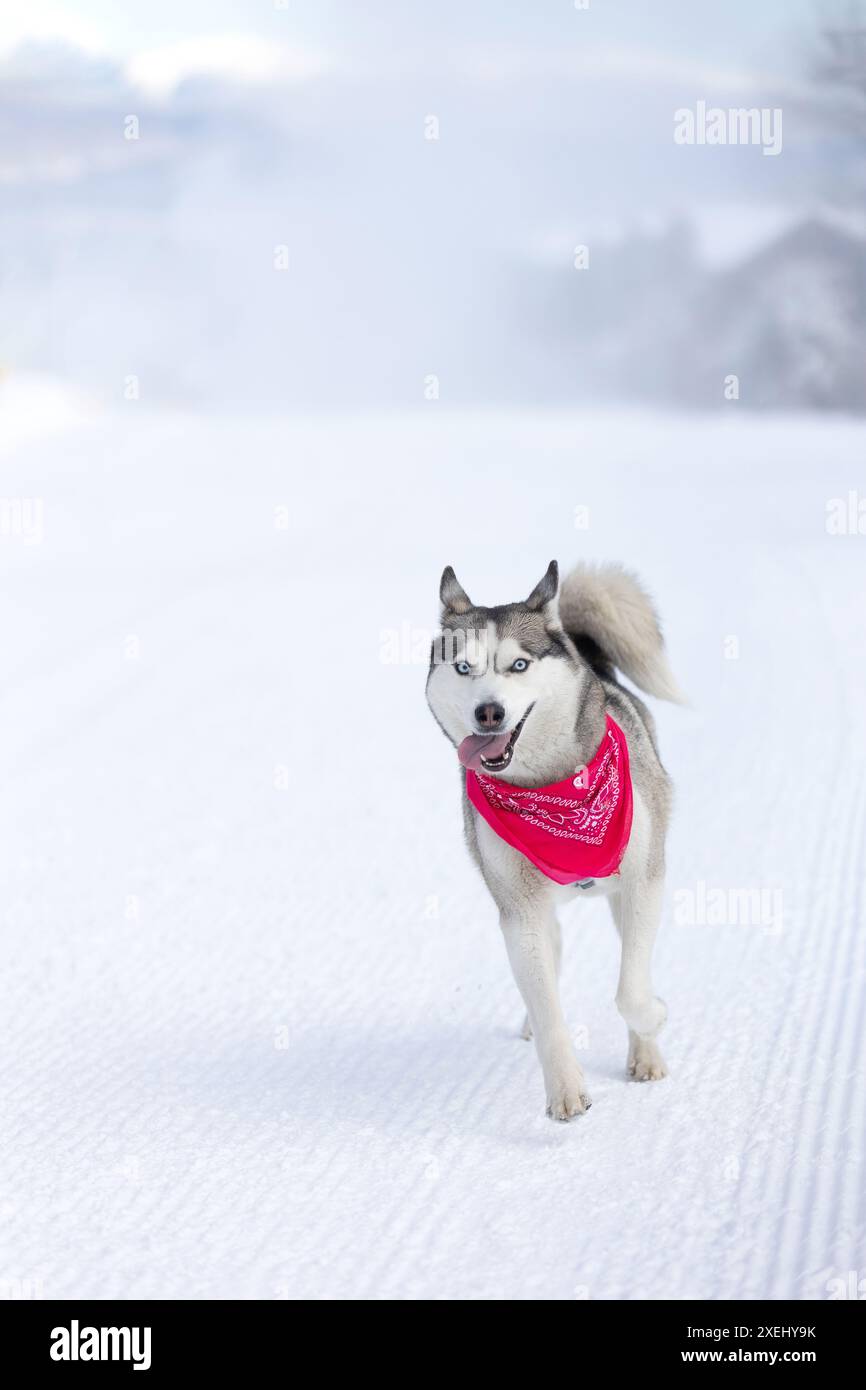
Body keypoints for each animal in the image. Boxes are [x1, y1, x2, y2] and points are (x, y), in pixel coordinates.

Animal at [428, 561, 683, 1117]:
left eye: (519, 665)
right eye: (463, 668)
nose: (488, 712)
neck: (550, 787)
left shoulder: (642, 882)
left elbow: (631, 992)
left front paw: (655, 1017)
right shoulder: (519, 910)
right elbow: (548, 1010)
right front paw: (565, 1089)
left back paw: (647, 1055)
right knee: (552, 951)